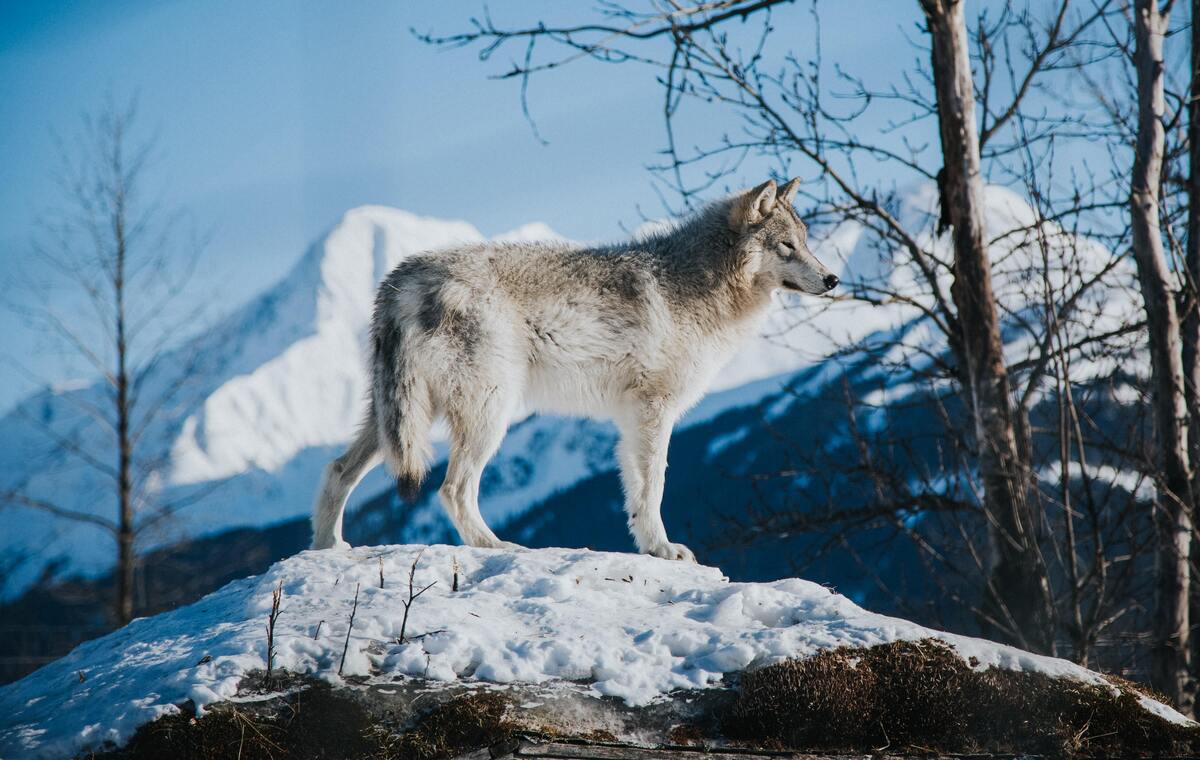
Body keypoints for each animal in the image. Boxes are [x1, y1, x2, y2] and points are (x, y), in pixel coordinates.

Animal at [309, 176, 835, 557]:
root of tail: (399, 282)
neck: (701, 284)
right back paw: (498, 546)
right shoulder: (654, 411)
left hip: (397, 420)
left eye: (807, 242)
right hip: (487, 415)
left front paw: (649, 546)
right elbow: (656, 485)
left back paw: (328, 548)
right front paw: (664, 549)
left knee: (337, 469)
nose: (833, 279)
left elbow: (636, 492)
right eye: (787, 247)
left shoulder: (631, 420)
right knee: (452, 490)